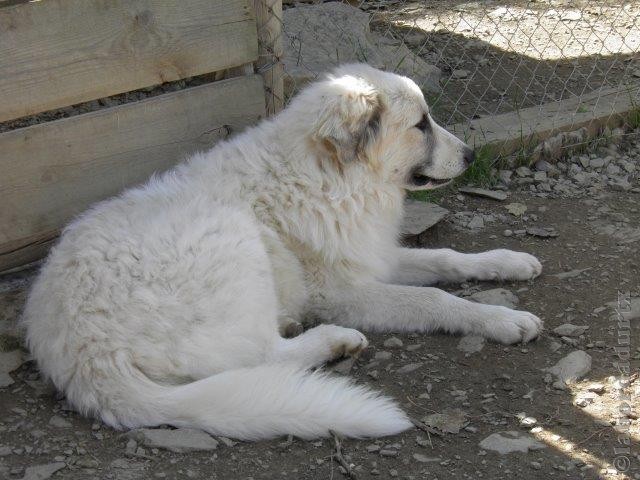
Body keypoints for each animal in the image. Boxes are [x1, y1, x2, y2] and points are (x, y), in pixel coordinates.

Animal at [22, 64, 544, 442]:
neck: (330, 178)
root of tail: (84, 359)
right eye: (420, 124)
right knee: (263, 357)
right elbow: (435, 298)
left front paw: (509, 261)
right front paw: (502, 320)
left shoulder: (372, 255)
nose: (472, 156)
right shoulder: (340, 292)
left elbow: (447, 258)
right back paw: (332, 341)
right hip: (235, 240)